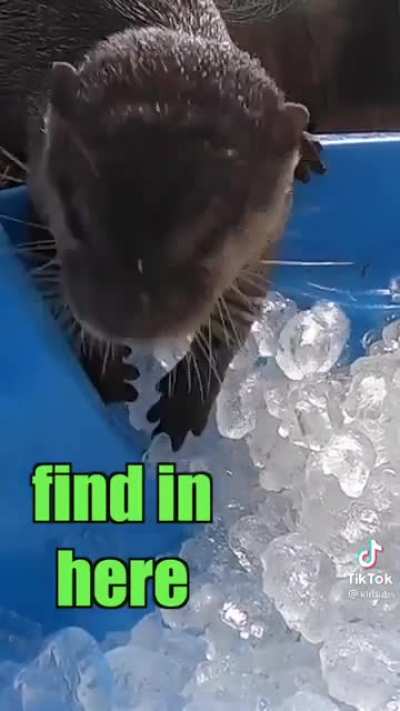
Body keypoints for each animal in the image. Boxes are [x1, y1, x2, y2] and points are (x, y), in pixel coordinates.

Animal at [0, 0, 324, 449]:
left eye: (209, 238)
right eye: (77, 218)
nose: (121, 320)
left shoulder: (268, 232)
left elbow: (235, 317)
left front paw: (184, 406)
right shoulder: (39, 197)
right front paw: (107, 372)